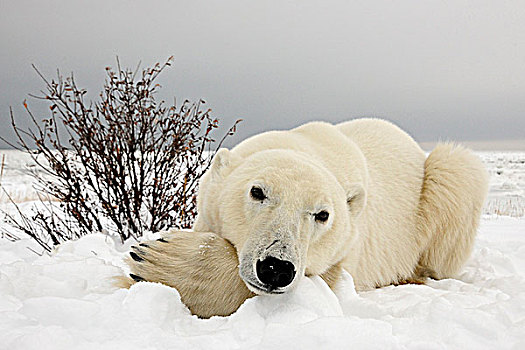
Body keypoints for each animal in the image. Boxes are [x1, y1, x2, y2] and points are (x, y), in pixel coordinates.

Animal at [117, 119, 488, 318]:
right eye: (257, 191)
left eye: (322, 215)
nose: (275, 267)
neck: (308, 146)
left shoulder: (345, 247)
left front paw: (158, 260)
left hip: (437, 187)